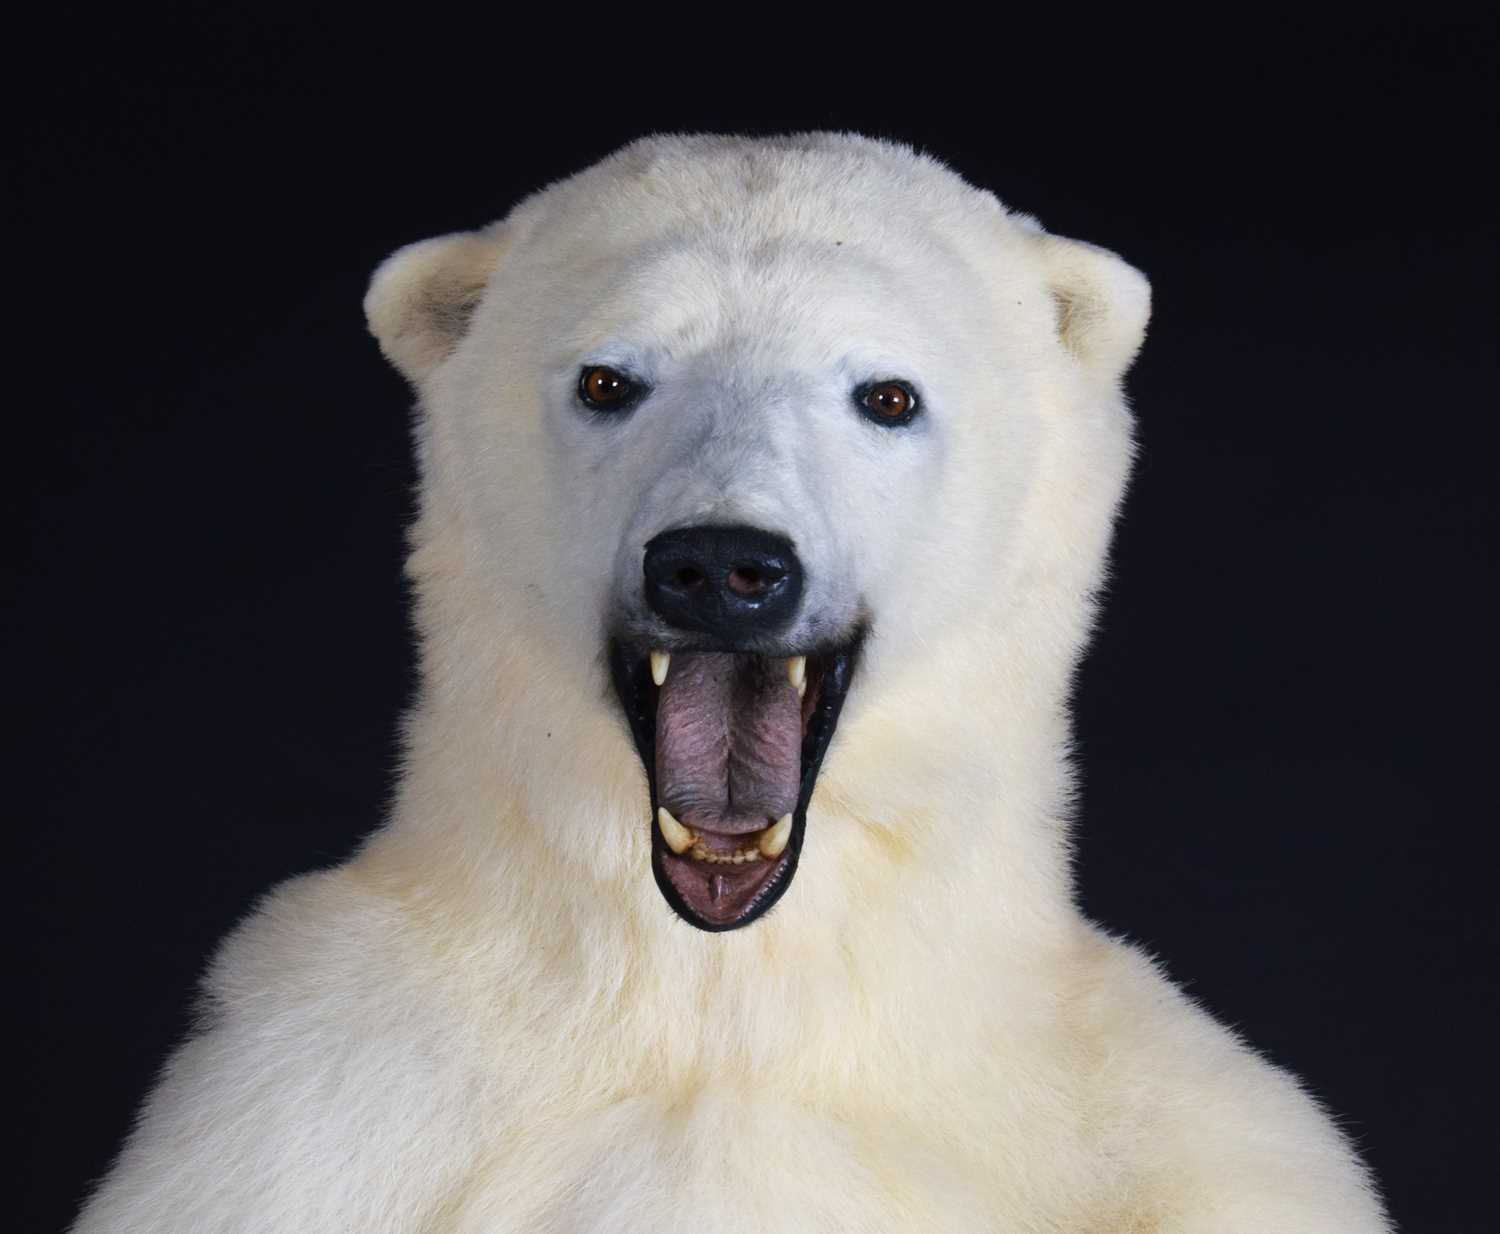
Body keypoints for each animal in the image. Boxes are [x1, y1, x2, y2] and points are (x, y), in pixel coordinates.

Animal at [67, 134, 1380, 1234]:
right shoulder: (307, 1118)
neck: (726, 981)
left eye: (887, 394)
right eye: (607, 379)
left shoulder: (1171, 1154)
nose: (720, 566)